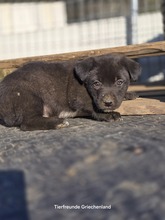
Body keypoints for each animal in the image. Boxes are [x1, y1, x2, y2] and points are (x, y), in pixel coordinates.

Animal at [0, 52, 141, 131]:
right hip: (28, 96)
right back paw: (58, 123)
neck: (84, 82)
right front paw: (108, 115)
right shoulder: (77, 96)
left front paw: (129, 94)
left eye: (119, 82)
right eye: (96, 83)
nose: (108, 103)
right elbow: (92, 105)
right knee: (27, 123)